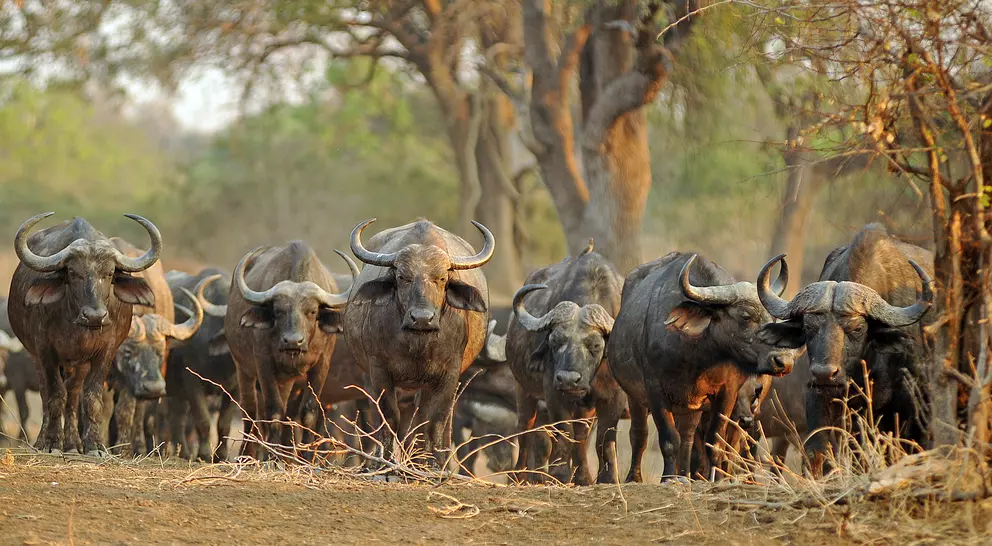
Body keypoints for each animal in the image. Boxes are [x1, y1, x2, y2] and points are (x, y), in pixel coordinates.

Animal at [7, 213, 162, 455]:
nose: (95, 316)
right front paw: (52, 443)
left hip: (78, 365)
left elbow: (91, 399)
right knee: (46, 393)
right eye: (73, 272)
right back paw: (43, 441)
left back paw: (72, 444)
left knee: (73, 396)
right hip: (36, 356)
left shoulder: (105, 353)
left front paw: (94, 446)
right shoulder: (45, 351)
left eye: (110, 273)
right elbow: (54, 396)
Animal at [345, 218, 494, 468]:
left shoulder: (449, 375)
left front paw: (433, 465)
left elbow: (435, 421)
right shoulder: (379, 371)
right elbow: (389, 417)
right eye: (402, 277)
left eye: (441, 278)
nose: (422, 318)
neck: (417, 344)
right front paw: (387, 461)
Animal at [605, 252, 796, 481]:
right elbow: (669, 439)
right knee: (640, 434)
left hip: (692, 407)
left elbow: (714, 441)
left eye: (771, 317)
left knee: (687, 437)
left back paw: (686, 475)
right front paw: (668, 478)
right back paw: (635, 477)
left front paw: (717, 478)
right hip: (635, 396)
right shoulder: (654, 390)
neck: (696, 357)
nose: (784, 361)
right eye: (745, 316)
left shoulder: (727, 392)